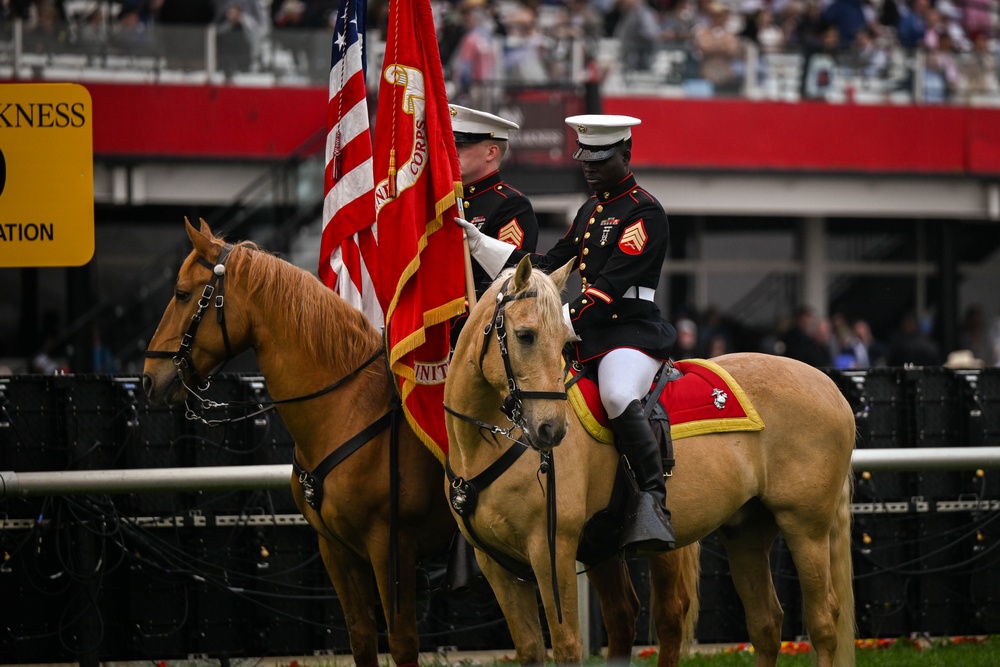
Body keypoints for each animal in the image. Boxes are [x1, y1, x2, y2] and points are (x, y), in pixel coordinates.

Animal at [145, 220, 458, 667]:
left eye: (182, 293)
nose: (148, 378)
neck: (347, 407)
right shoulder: (336, 550)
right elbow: (361, 637)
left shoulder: (391, 546)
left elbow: (402, 643)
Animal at [448, 258, 860, 667]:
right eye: (525, 336)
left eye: (565, 343)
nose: (551, 429)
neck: (485, 445)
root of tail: (829, 384)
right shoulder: (498, 566)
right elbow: (531, 649)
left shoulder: (552, 551)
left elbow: (566, 646)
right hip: (746, 531)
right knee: (766, 623)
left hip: (805, 527)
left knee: (823, 623)